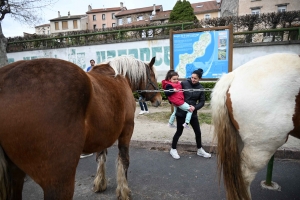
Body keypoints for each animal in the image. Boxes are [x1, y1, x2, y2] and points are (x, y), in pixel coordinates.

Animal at [0, 55, 162, 199]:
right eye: (153, 76)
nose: (160, 99)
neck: (119, 76)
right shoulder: (127, 129)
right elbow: (123, 160)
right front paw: (123, 191)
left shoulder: (103, 132)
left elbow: (101, 156)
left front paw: (100, 182)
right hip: (59, 181)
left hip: (16, 176)